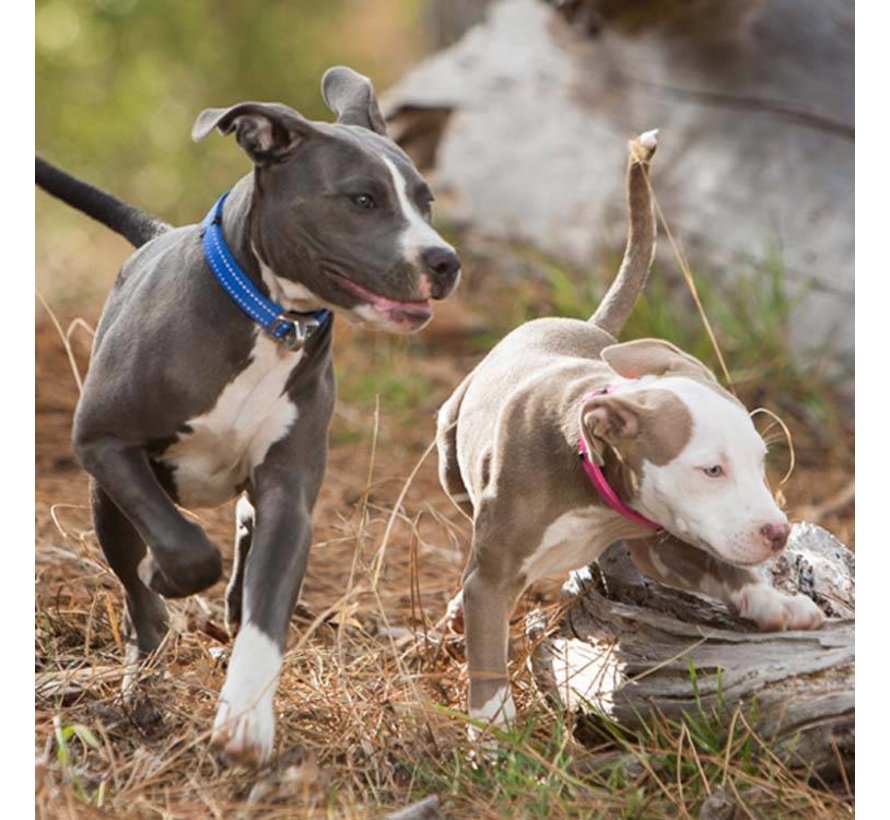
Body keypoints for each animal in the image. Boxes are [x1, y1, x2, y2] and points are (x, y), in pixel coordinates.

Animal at [36, 65, 458, 764]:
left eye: (425, 202)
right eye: (362, 200)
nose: (445, 262)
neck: (268, 317)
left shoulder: (290, 493)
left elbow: (266, 608)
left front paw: (245, 719)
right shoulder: (102, 441)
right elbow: (181, 550)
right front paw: (169, 573)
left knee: (237, 539)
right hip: (104, 501)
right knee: (141, 601)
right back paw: (141, 685)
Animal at [434, 131, 824, 732]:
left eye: (760, 462)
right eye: (711, 470)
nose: (778, 533)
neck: (592, 475)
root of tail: (579, 323)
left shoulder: (663, 540)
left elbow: (720, 567)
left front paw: (775, 603)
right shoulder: (491, 581)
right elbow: (488, 662)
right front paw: (497, 739)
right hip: (449, 445)